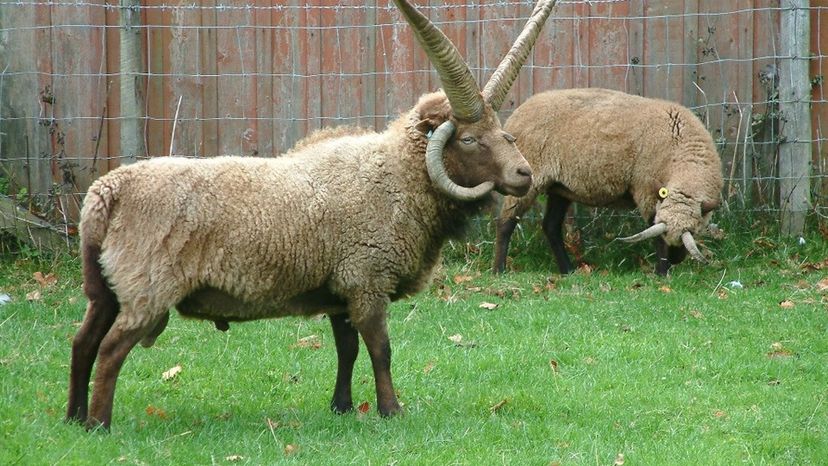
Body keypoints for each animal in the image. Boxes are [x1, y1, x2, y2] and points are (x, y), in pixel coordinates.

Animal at [64, 0, 556, 430]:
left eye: (501, 129)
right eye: (469, 139)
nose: (524, 174)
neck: (394, 177)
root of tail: (106, 194)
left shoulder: (340, 287)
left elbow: (347, 349)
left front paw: (341, 406)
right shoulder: (367, 278)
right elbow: (380, 349)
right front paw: (391, 410)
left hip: (105, 288)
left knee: (82, 342)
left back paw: (73, 418)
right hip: (145, 287)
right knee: (110, 351)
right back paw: (100, 424)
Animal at [494, 88, 720, 274]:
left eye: (693, 231)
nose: (676, 260)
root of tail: (519, 112)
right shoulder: (646, 193)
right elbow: (656, 236)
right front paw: (662, 274)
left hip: (559, 187)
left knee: (550, 226)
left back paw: (568, 270)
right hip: (527, 178)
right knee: (506, 221)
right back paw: (499, 269)